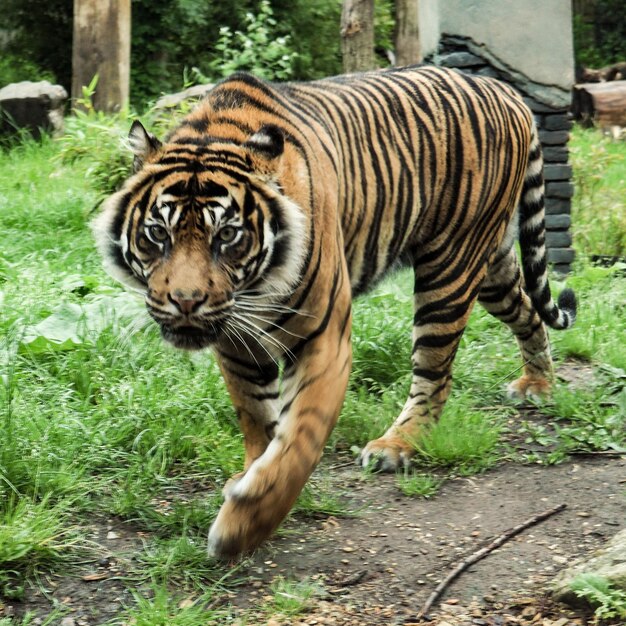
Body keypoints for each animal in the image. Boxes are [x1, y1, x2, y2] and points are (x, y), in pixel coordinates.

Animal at [90, 64, 572, 556]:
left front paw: (245, 525)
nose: (186, 301)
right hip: (491, 264)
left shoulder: (323, 338)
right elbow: (257, 421)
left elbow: (299, 437)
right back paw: (538, 384)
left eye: (226, 235)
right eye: (157, 233)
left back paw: (396, 445)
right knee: (529, 313)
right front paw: (251, 472)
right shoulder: (236, 345)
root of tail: (502, 88)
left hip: (450, 267)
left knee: (435, 373)